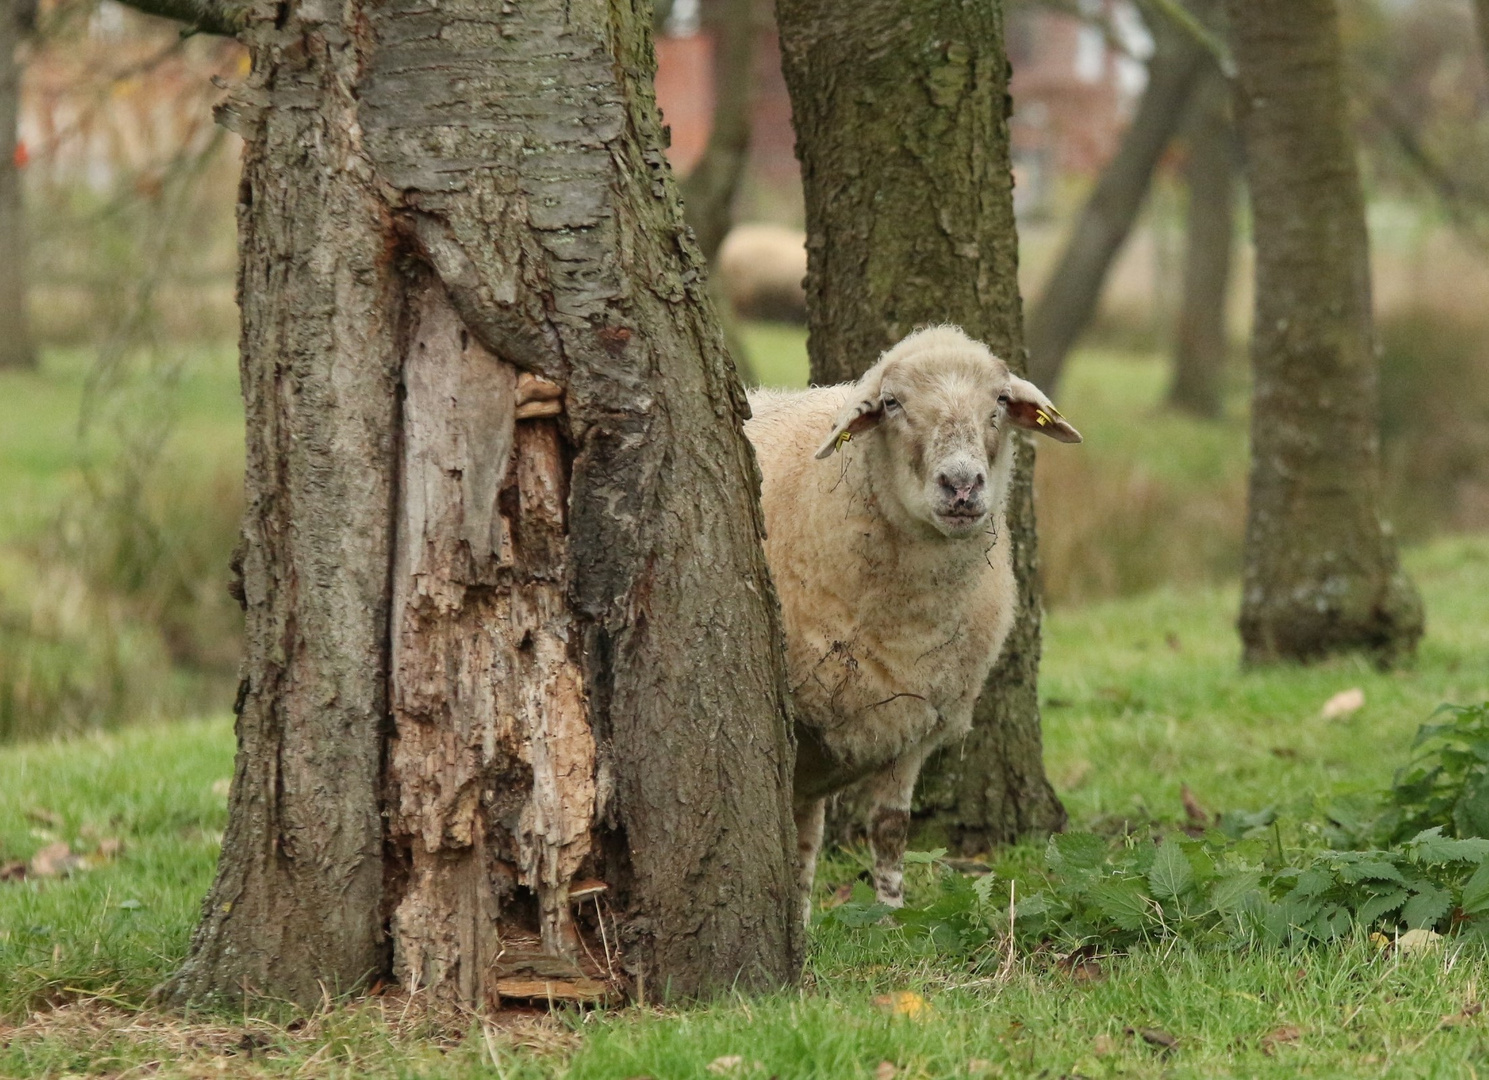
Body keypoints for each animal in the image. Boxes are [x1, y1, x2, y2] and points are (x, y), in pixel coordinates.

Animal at [744, 324, 1083, 923]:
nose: (962, 486)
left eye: (1000, 401)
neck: (911, 621)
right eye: (892, 404)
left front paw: (890, 917)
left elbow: (890, 829)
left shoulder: (915, 716)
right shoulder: (800, 721)